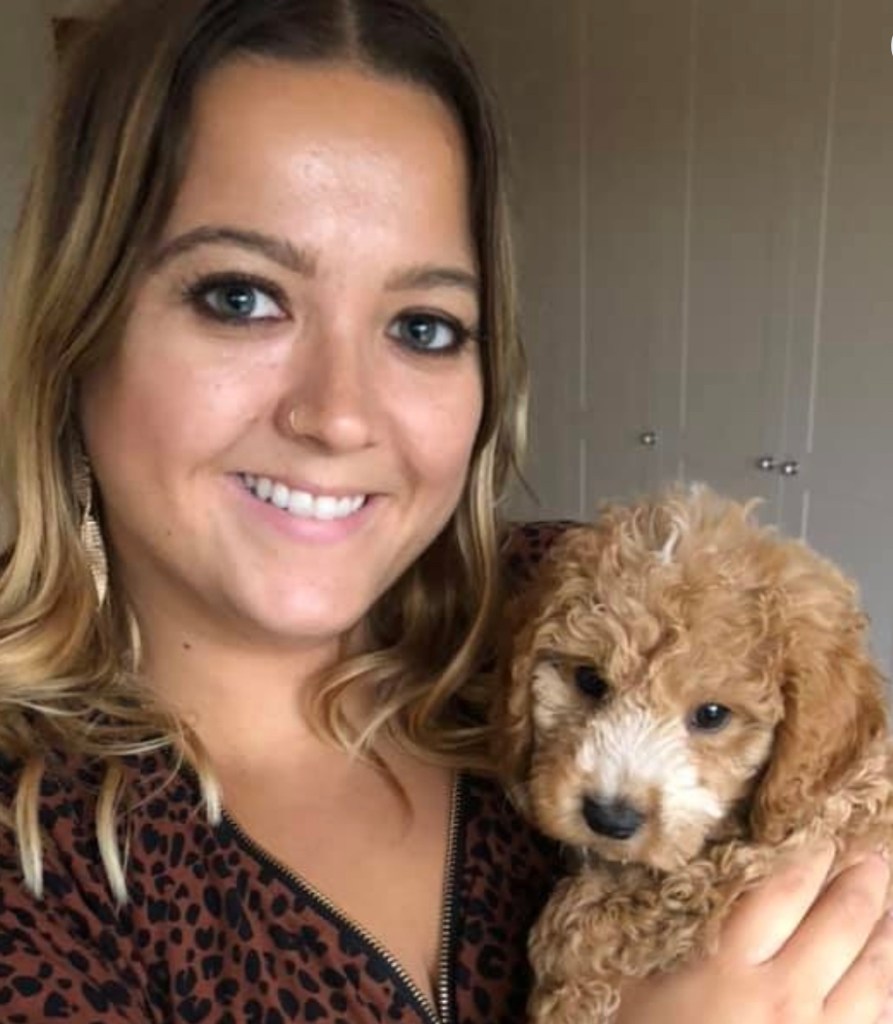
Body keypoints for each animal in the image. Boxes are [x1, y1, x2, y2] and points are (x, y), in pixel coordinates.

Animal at [494, 485, 893, 1023]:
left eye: (711, 714)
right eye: (590, 681)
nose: (609, 818)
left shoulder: (761, 859)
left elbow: (597, 914)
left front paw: (565, 991)